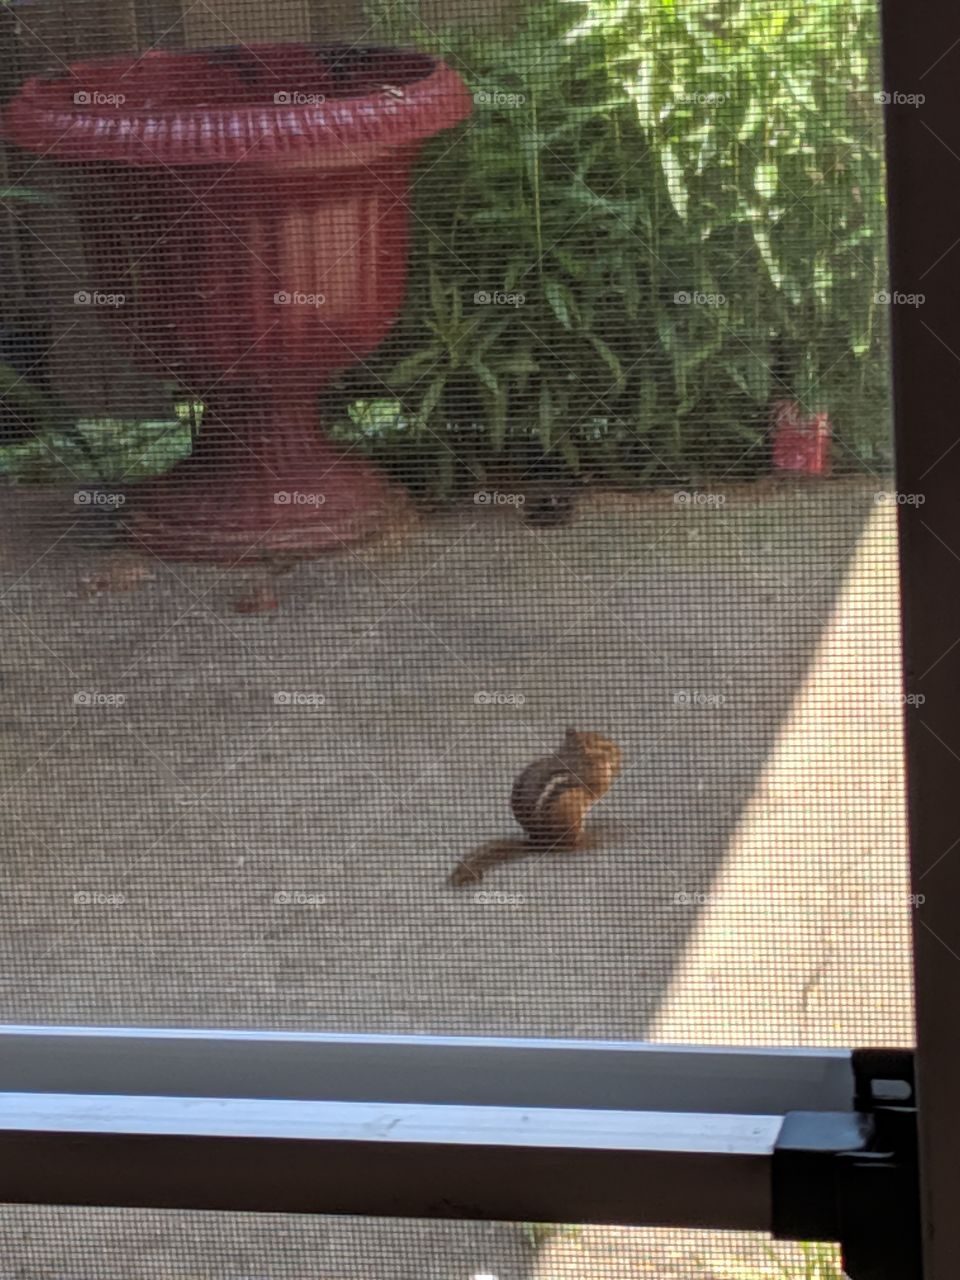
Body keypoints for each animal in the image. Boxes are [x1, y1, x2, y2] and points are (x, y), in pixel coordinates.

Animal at [449, 728, 622, 887]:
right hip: (569, 812)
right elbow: (599, 788)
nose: (619, 752)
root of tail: (539, 844)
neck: (574, 754)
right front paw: (613, 766)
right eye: (603, 747)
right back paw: (587, 841)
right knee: (568, 847)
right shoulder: (590, 777)